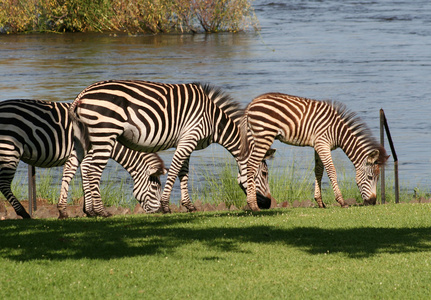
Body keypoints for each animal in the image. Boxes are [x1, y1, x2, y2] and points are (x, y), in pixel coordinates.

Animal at [0, 99, 167, 219]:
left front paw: (88, 210)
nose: (161, 211)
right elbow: (88, 178)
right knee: (4, 184)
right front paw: (92, 211)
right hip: (10, 149)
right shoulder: (90, 155)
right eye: (155, 187)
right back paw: (23, 213)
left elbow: (84, 179)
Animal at [69, 80, 276, 216]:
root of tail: (82, 94)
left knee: (85, 167)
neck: (213, 120)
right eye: (265, 174)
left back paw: (91, 211)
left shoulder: (186, 141)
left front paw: (189, 206)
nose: (267, 204)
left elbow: (184, 172)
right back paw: (101, 211)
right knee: (94, 171)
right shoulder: (189, 138)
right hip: (105, 133)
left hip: (88, 138)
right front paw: (165, 206)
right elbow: (176, 169)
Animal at [240, 92, 392, 210]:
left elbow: (319, 171)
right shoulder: (322, 143)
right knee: (251, 165)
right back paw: (253, 205)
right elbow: (331, 171)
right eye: (370, 177)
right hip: (264, 135)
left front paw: (320, 202)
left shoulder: (318, 146)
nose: (372, 202)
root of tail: (252, 103)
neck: (338, 132)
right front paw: (341, 201)